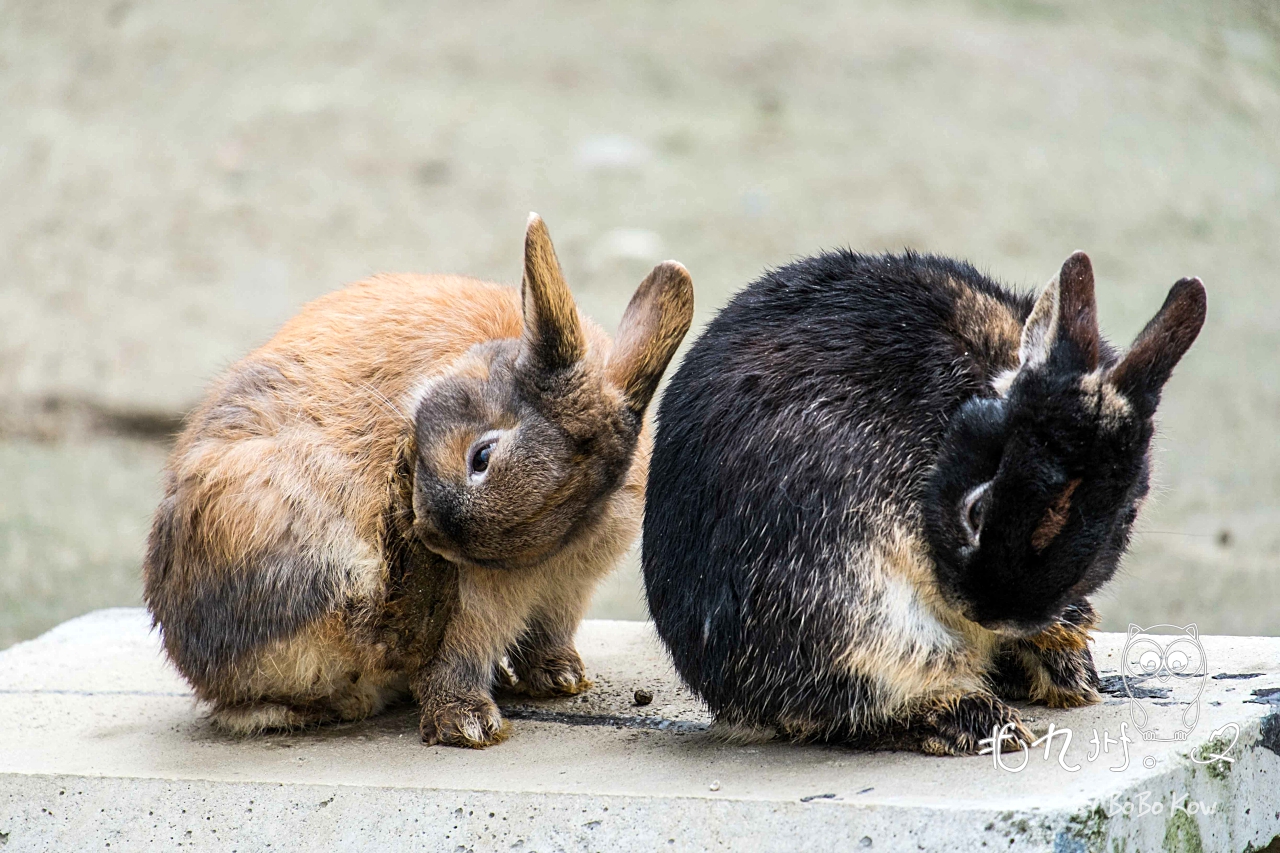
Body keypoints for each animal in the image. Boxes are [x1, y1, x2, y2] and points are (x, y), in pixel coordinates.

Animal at [145, 213, 696, 742]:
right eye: (482, 456)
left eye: (574, 506)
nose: (433, 535)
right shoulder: (478, 603)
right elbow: (455, 656)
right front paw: (467, 725)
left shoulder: (564, 587)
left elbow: (544, 631)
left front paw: (560, 677)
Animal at [645, 247, 1203, 753]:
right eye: (977, 510)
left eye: (1122, 517)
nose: (995, 613)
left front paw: (1065, 634)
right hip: (859, 617)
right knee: (850, 712)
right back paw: (982, 721)